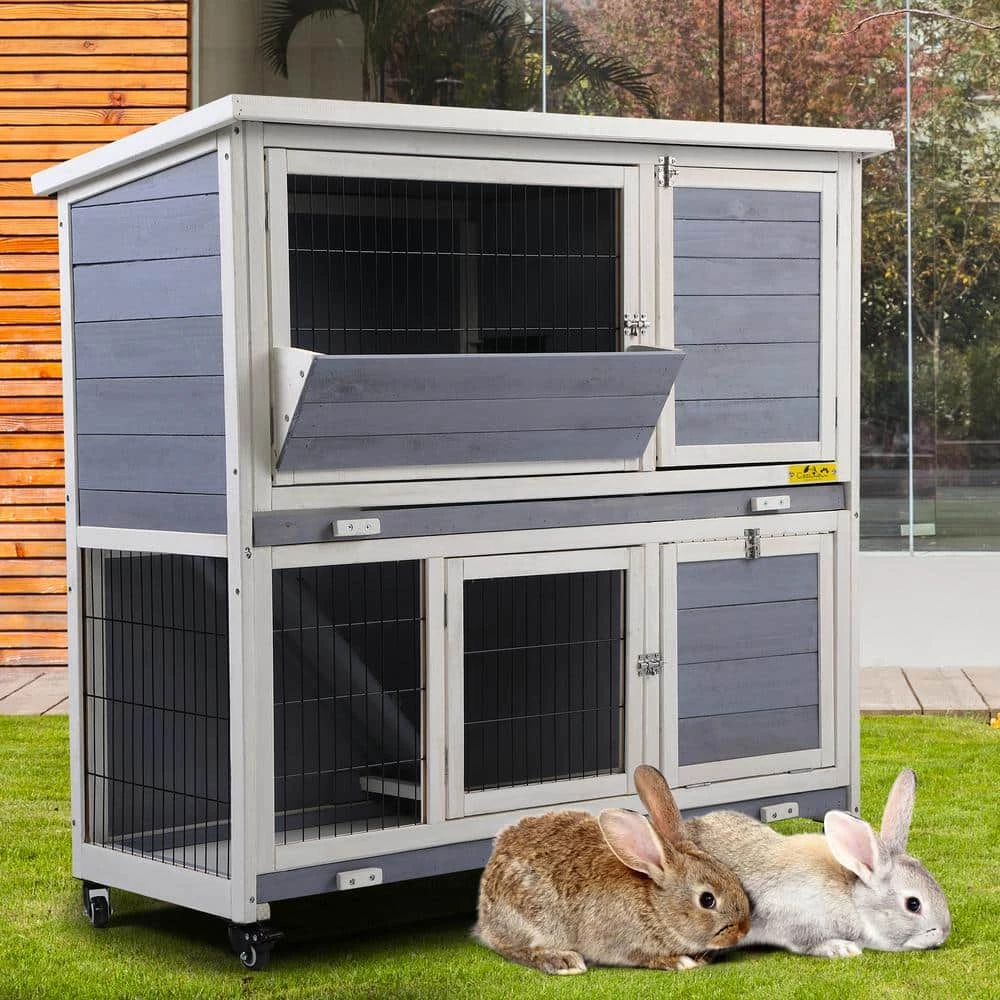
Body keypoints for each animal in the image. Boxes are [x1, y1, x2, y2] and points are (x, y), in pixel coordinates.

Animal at [474, 764, 751, 974]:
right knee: (510, 947)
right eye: (707, 900)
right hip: (531, 919)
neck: (655, 906)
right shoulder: (623, 943)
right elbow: (643, 956)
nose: (742, 931)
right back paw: (561, 961)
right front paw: (679, 961)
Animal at [680, 768, 951, 958]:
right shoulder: (795, 920)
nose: (943, 934)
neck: (852, 898)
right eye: (913, 904)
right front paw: (842, 948)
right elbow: (808, 942)